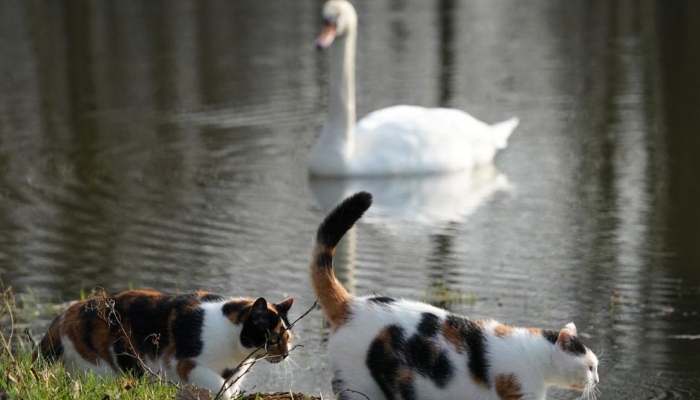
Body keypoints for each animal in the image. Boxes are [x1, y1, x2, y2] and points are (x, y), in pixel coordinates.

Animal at [36, 290, 292, 398]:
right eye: (274, 339)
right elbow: (221, 387)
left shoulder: (235, 373)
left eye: (288, 339)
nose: (286, 354)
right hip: (101, 367)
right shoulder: (186, 364)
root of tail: (68, 312)